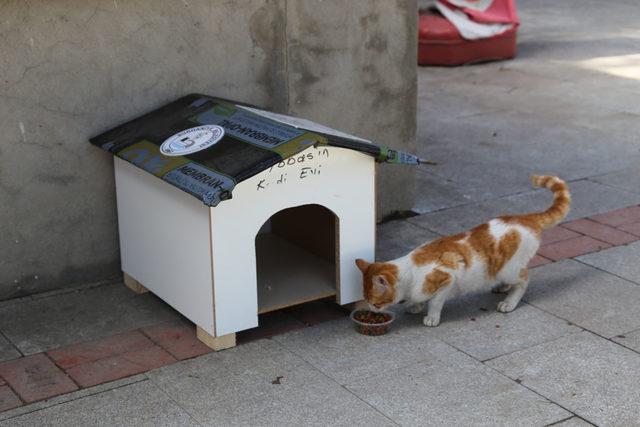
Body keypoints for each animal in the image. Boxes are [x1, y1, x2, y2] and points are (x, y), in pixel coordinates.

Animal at [356, 176, 568, 328]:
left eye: (375, 303)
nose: (372, 310)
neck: (410, 272)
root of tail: (525, 218)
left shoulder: (447, 279)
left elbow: (435, 303)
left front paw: (431, 317)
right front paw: (415, 306)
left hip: (509, 269)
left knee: (524, 279)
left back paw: (509, 302)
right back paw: (502, 287)